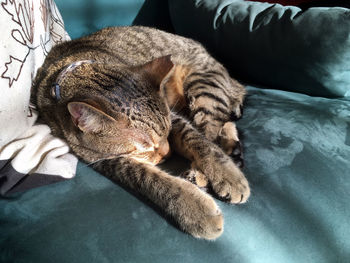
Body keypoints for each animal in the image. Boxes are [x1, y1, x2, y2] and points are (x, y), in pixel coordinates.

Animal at [30, 25, 249, 240]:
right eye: (144, 147)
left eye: (167, 132)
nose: (168, 153)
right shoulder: (104, 159)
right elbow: (147, 177)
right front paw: (196, 209)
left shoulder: (175, 118)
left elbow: (202, 143)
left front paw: (230, 176)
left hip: (203, 90)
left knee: (212, 129)